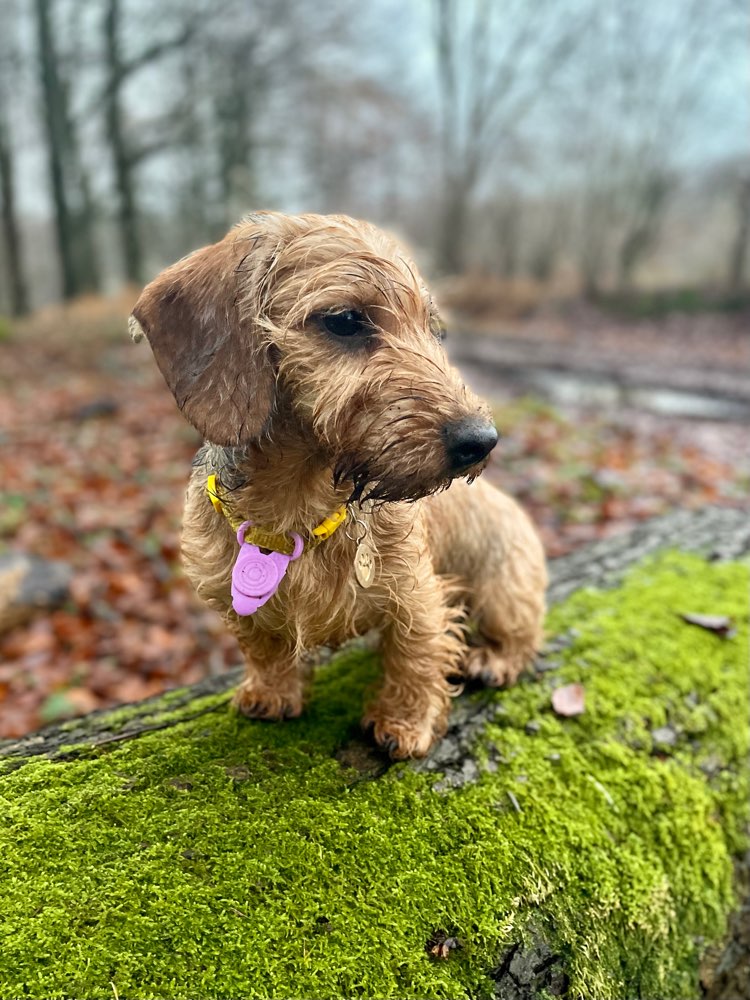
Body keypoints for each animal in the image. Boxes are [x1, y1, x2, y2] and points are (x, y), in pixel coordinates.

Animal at [131, 213, 548, 756]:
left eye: (432, 330)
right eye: (346, 320)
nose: (481, 441)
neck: (298, 501)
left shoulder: (418, 592)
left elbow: (416, 653)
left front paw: (405, 722)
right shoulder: (230, 591)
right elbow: (262, 645)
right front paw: (272, 692)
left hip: (504, 591)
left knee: (522, 635)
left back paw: (494, 658)